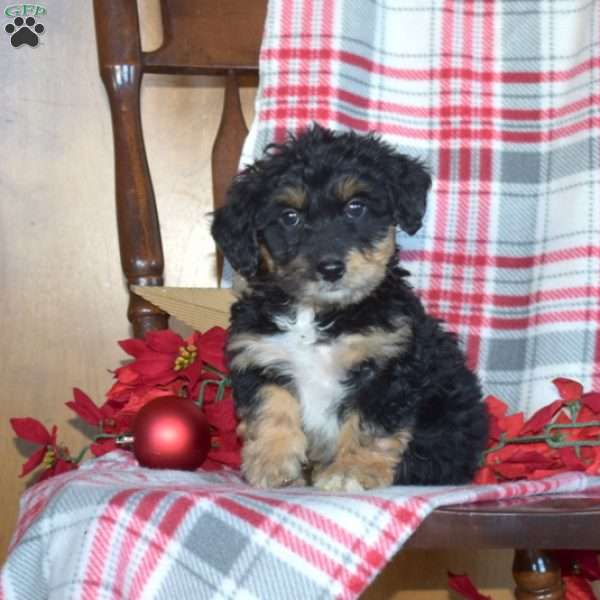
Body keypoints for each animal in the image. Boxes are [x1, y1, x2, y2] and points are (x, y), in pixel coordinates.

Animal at [211, 124, 488, 490]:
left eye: (356, 207)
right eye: (290, 217)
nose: (330, 268)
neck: (317, 313)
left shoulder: (385, 367)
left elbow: (368, 427)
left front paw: (350, 471)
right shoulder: (259, 353)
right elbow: (270, 406)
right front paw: (273, 463)